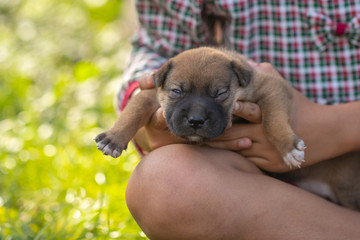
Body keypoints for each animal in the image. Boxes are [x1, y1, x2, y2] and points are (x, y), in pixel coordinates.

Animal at [94, 46, 306, 167]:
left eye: (220, 94)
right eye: (177, 91)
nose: (196, 121)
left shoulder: (272, 87)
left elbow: (273, 121)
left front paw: (288, 147)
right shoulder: (150, 93)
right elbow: (133, 112)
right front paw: (114, 138)